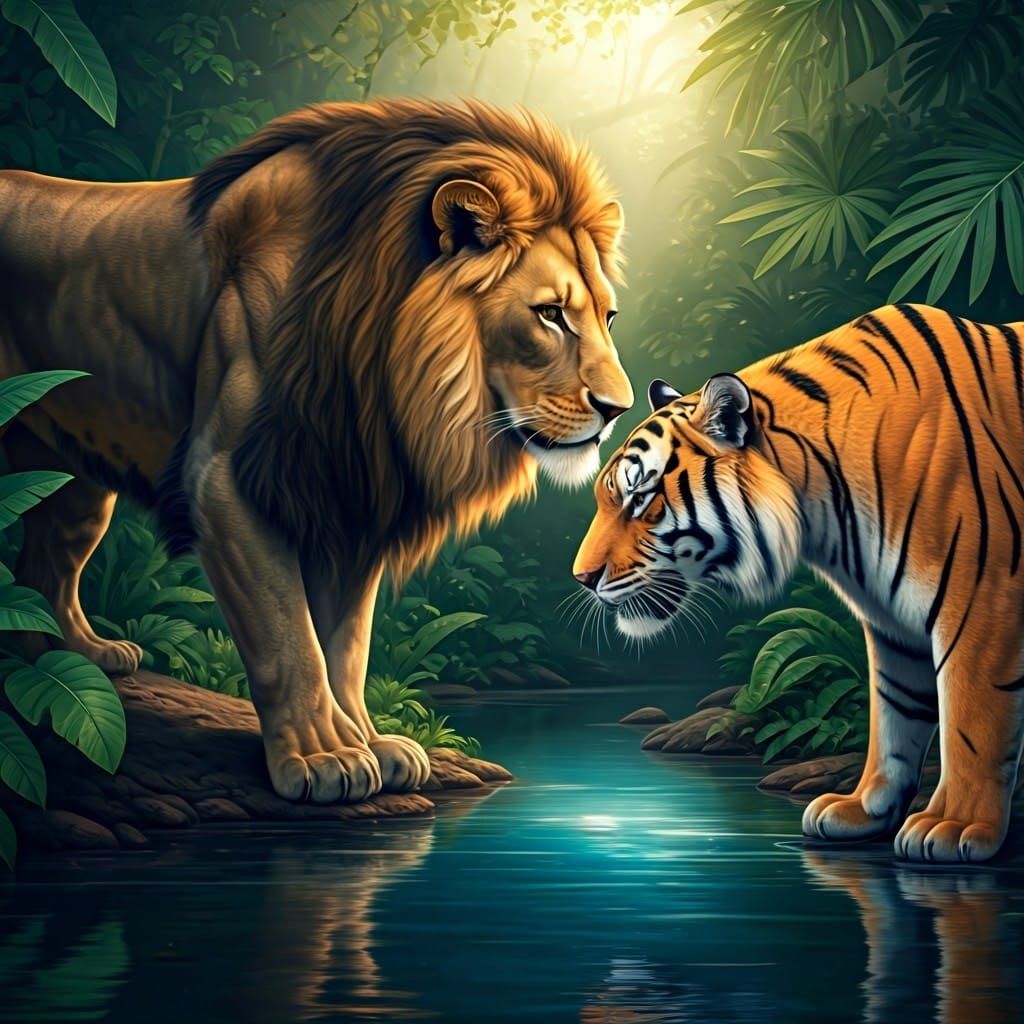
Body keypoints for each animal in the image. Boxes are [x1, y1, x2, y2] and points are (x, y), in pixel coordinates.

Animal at [0, 98, 633, 803]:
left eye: (607, 317)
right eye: (549, 314)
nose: (619, 409)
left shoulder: (347, 490)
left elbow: (346, 645)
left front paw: (371, 742)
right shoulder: (229, 482)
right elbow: (289, 637)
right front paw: (322, 755)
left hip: (75, 484)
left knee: (44, 569)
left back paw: (81, 655)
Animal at [574, 303, 1024, 863]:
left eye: (640, 498)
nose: (581, 578)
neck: (828, 506)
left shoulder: (982, 602)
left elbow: (970, 723)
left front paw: (954, 826)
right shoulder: (894, 622)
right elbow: (894, 715)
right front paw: (864, 809)